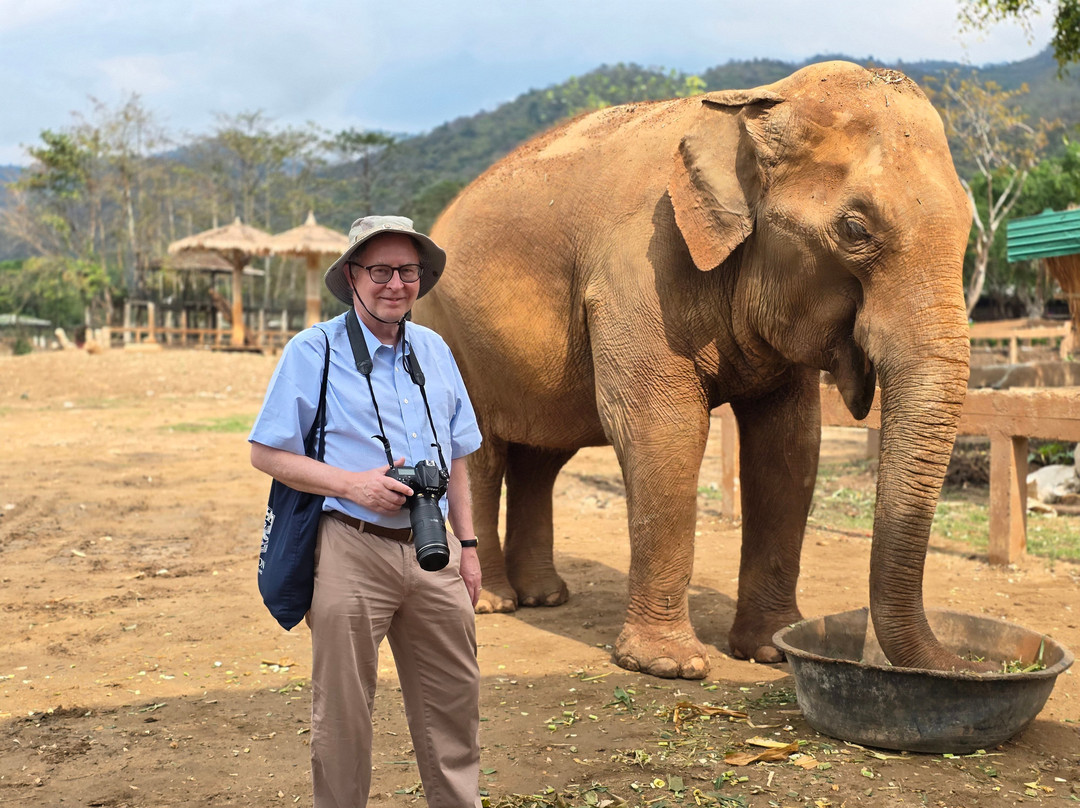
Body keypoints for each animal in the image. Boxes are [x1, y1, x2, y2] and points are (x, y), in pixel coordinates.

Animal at [413, 61, 975, 679]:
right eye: (855, 229)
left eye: (969, 226)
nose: (971, 666)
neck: (750, 108)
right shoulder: (639, 268)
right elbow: (667, 427)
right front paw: (671, 666)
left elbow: (789, 446)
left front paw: (770, 649)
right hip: (448, 334)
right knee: (481, 454)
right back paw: (492, 603)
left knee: (542, 458)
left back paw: (544, 597)